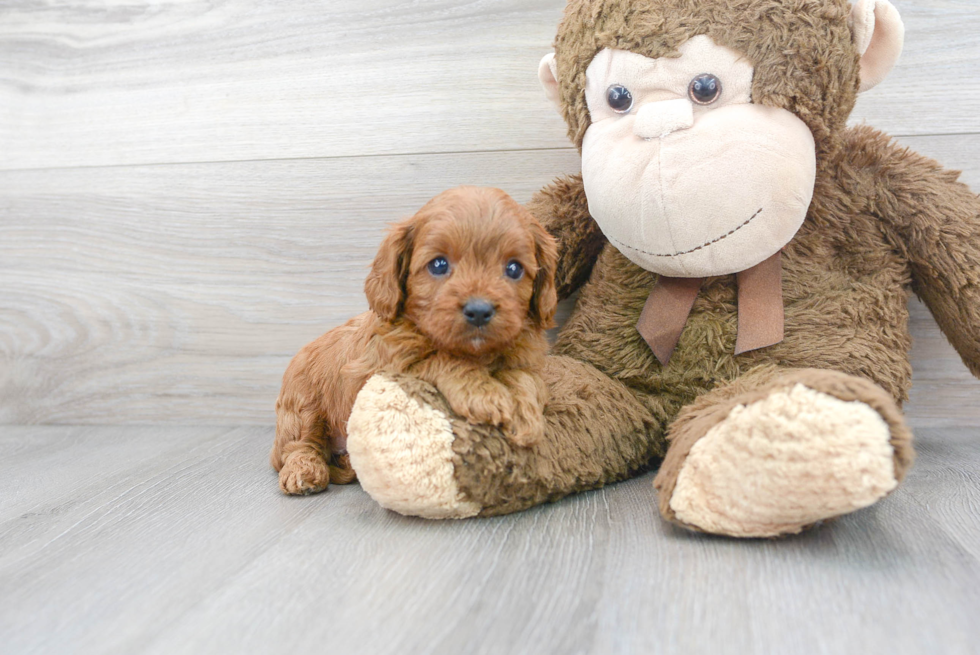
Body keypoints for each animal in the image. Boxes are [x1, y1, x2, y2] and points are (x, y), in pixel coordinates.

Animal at [268, 187, 560, 494]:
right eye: (439, 265)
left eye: (514, 269)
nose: (479, 310)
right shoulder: (386, 365)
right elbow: (442, 358)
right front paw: (484, 393)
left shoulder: (525, 358)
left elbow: (526, 378)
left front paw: (526, 414)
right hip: (302, 407)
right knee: (298, 446)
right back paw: (305, 472)